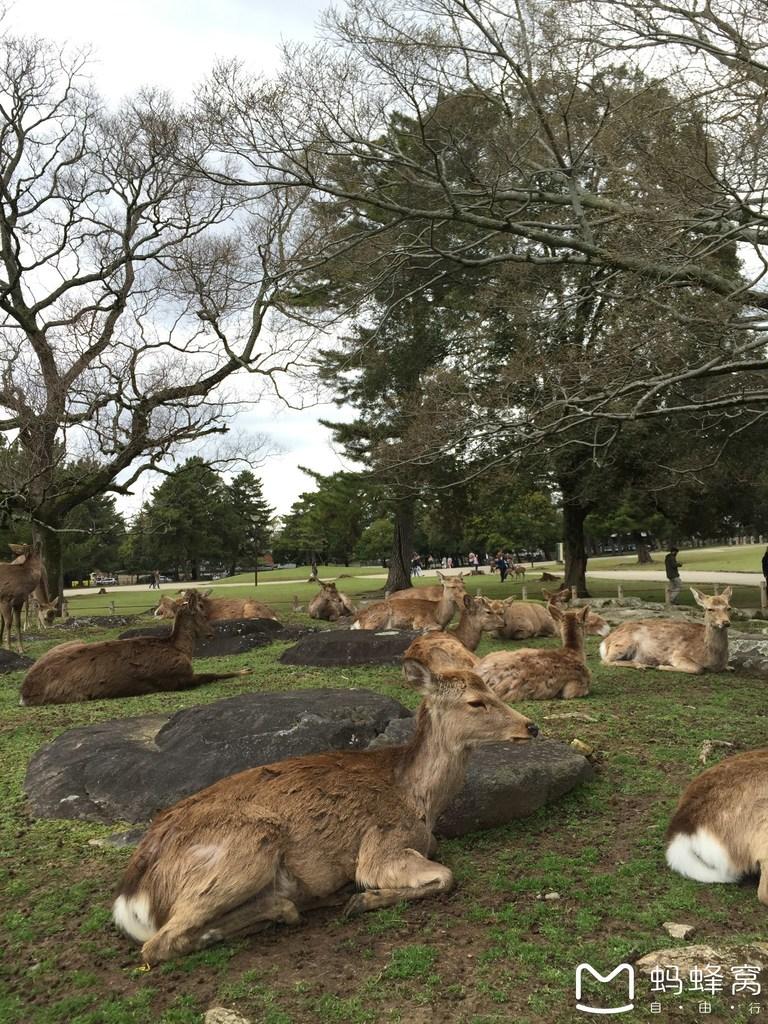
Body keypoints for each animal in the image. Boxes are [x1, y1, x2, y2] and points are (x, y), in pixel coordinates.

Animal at [20, 589, 249, 708]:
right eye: (201, 614)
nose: (212, 633)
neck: (180, 649)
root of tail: (24, 693)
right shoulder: (179, 678)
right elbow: (212, 674)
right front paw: (245, 670)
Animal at [112, 659, 540, 962]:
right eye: (475, 702)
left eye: (492, 688)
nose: (531, 726)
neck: (419, 800)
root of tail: (131, 897)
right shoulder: (381, 845)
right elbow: (445, 876)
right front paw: (363, 899)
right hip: (243, 850)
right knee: (160, 944)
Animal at [602, 589, 733, 675]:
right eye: (709, 609)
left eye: (729, 608)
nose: (726, 622)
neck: (714, 660)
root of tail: (604, 642)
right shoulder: (678, 654)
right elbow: (698, 669)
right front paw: (663, 666)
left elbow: (730, 667)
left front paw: (730, 667)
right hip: (623, 644)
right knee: (606, 661)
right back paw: (643, 665)